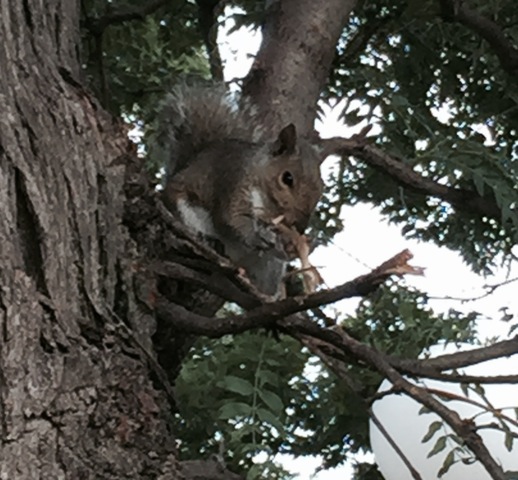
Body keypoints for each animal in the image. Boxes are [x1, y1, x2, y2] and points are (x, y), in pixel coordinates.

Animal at [158, 86, 324, 296]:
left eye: (321, 187)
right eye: (287, 178)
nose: (301, 226)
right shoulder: (233, 184)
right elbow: (233, 219)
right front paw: (255, 237)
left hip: (269, 266)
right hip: (184, 211)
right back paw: (209, 242)